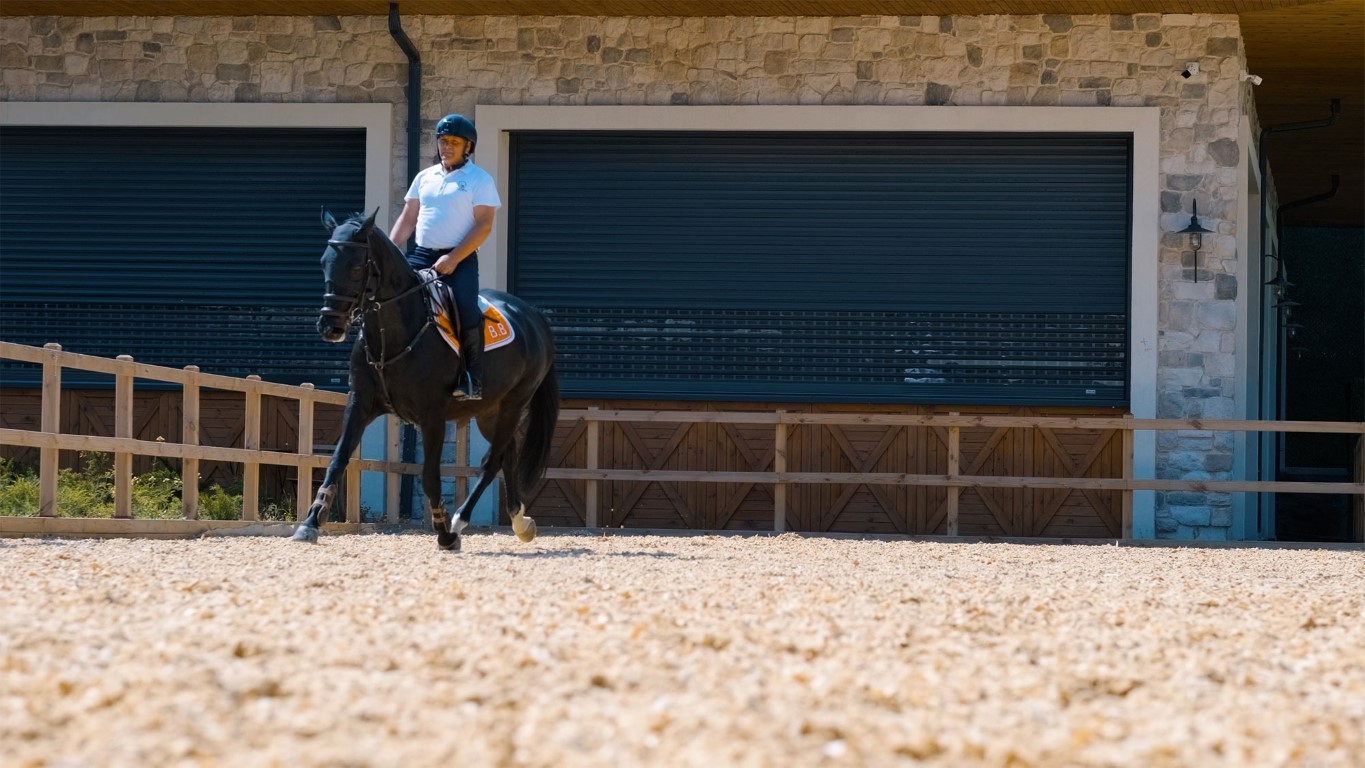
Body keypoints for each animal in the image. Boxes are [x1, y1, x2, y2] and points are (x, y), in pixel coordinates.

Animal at [294, 207, 559, 551]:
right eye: (324, 262)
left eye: (355, 268)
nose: (330, 327)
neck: (394, 333)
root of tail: (531, 315)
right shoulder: (360, 403)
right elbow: (337, 460)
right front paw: (310, 523)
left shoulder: (432, 416)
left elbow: (430, 476)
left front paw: (444, 533)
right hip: (490, 411)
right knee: (507, 453)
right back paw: (519, 521)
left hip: (514, 404)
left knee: (492, 461)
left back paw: (460, 522)